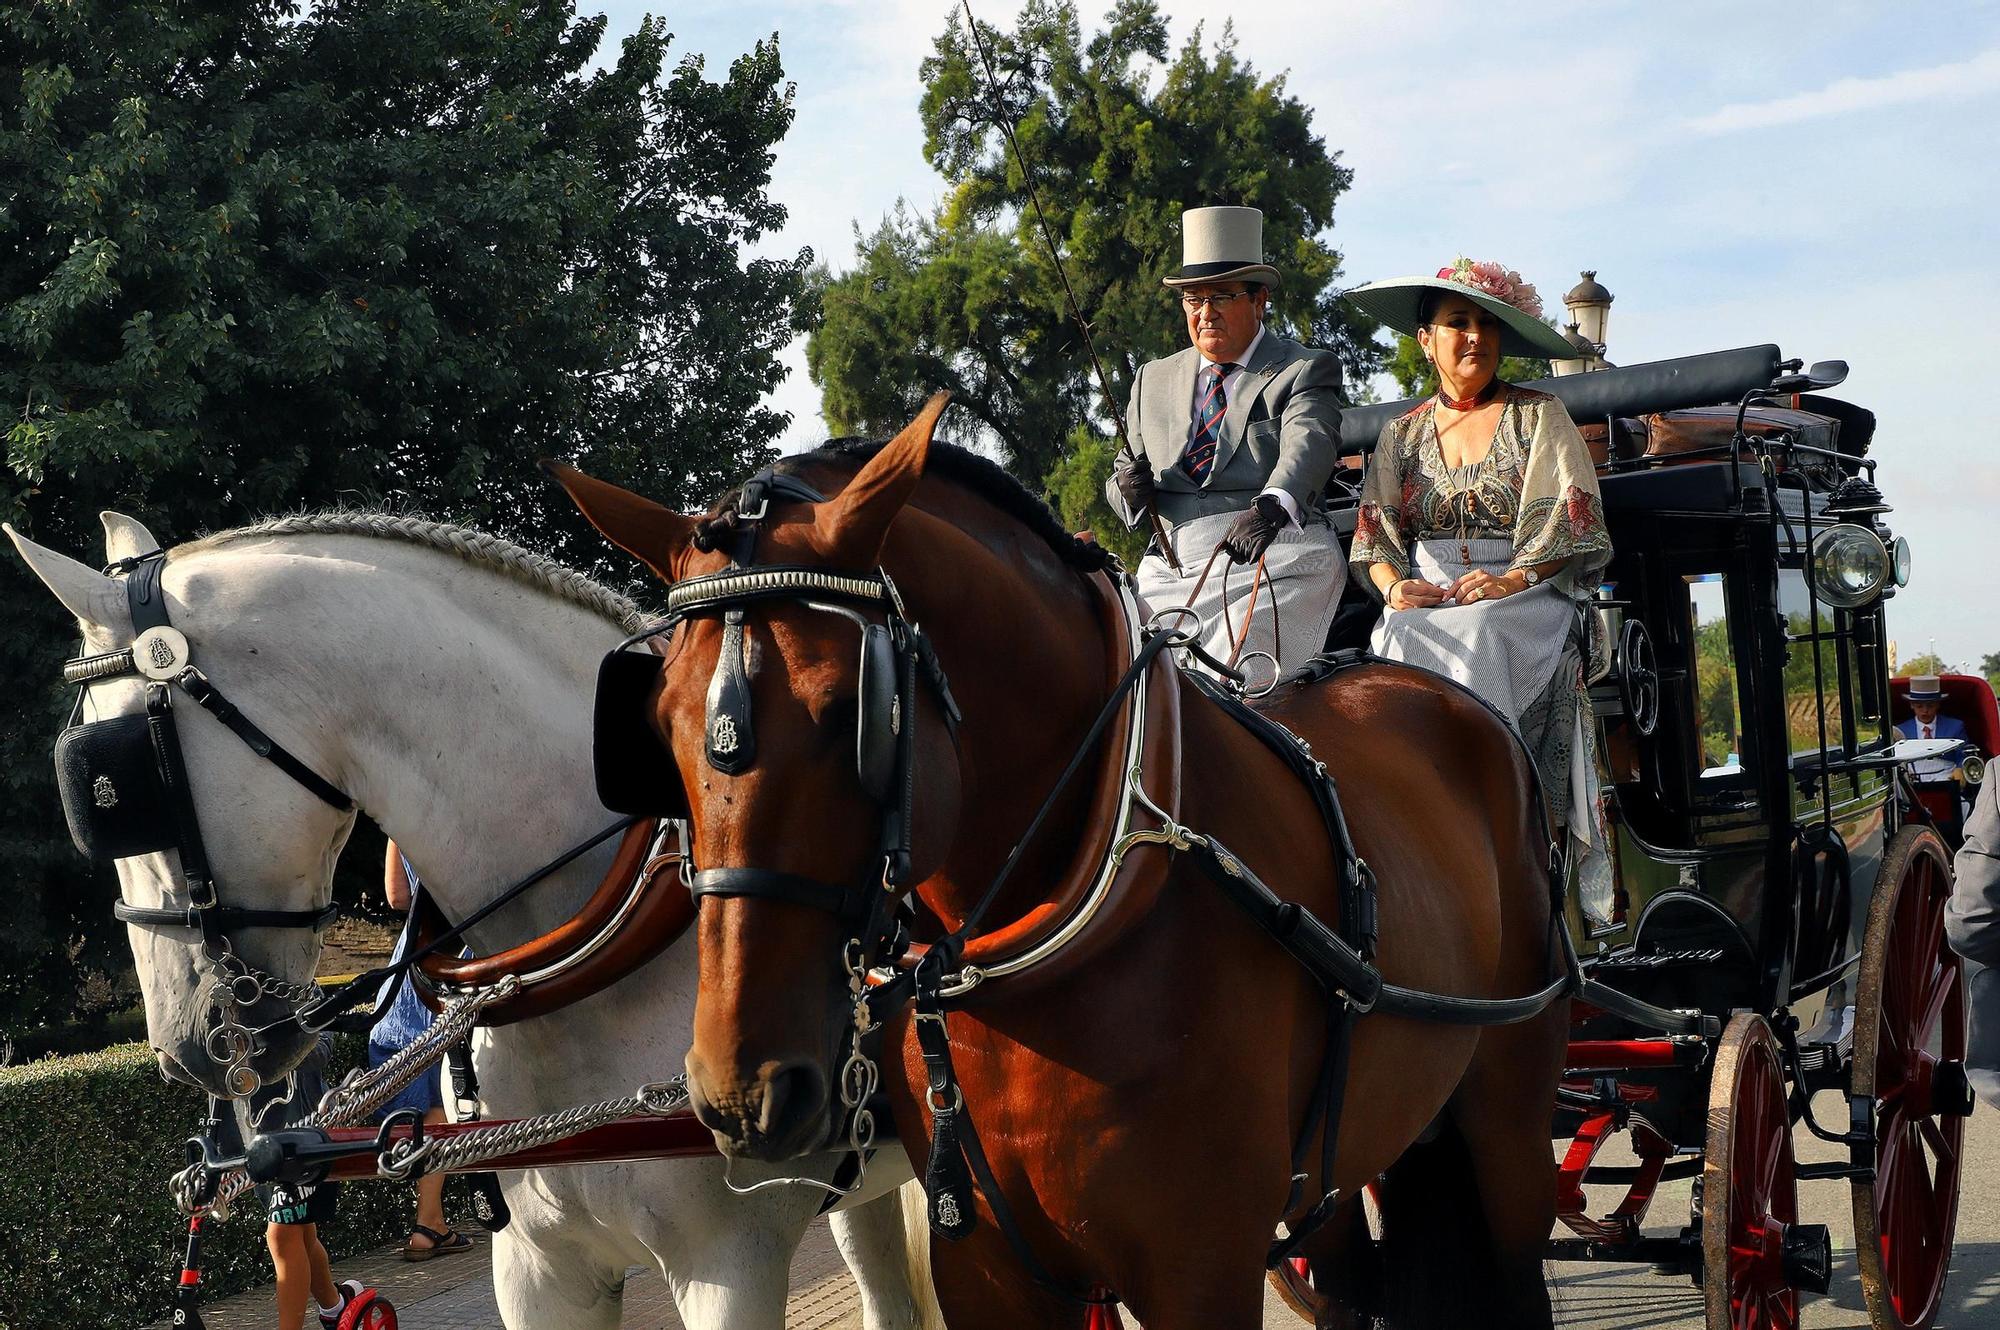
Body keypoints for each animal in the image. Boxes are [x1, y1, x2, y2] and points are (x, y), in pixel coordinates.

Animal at [556, 396, 1568, 1328]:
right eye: (655, 728)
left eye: (854, 709)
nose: (740, 1094)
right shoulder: (988, 1272)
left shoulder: (1201, 1266)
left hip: (1511, 1110)